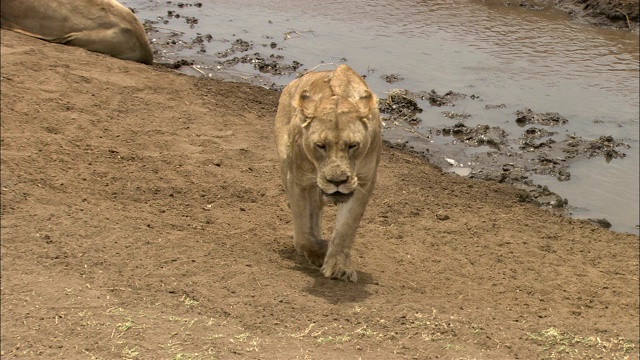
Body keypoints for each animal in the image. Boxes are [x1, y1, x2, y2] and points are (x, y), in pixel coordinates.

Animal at [274, 66, 380, 282]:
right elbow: (302, 230)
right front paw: (318, 250)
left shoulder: (364, 182)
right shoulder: (297, 180)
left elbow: (346, 228)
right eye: (320, 146)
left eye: (353, 145)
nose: (337, 181)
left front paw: (338, 266)